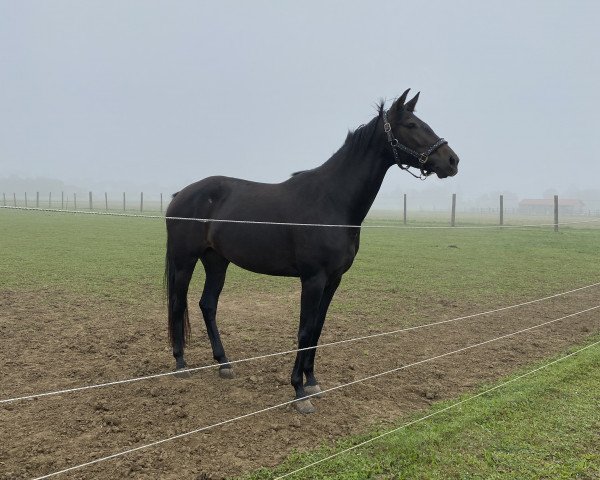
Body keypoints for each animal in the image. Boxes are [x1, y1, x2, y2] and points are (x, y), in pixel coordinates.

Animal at [164, 90, 460, 412]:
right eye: (411, 124)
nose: (452, 160)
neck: (331, 200)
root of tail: (180, 195)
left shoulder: (333, 280)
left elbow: (317, 328)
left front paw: (312, 381)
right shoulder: (313, 279)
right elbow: (304, 330)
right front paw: (298, 392)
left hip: (216, 261)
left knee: (208, 305)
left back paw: (224, 363)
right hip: (184, 260)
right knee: (178, 303)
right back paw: (181, 364)